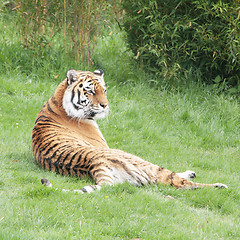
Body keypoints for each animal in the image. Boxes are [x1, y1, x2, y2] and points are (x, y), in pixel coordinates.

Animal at [31, 69, 227, 193]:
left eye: (104, 90)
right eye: (90, 92)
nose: (105, 105)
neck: (59, 101)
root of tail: (93, 164)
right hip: (140, 161)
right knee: (178, 182)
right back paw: (219, 186)